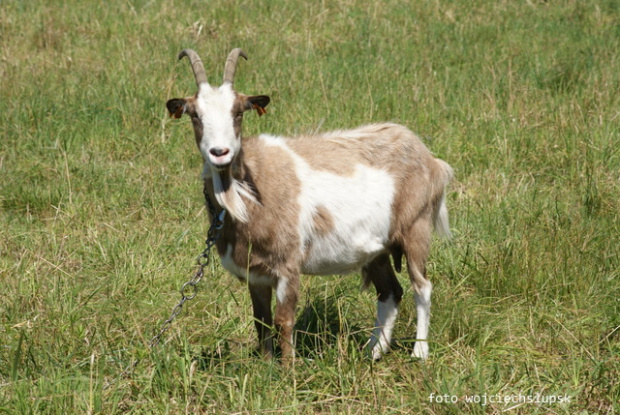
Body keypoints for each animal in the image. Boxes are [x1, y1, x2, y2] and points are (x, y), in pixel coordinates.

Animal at [167, 48, 452, 360]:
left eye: (238, 112)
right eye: (195, 115)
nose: (220, 152)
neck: (250, 191)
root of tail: (429, 158)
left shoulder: (288, 264)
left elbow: (283, 320)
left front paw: (288, 368)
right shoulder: (256, 272)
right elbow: (261, 320)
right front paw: (266, 365)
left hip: (416, 227)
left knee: (422, 287)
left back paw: (419, 352)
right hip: (377, 248)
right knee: (390, 291)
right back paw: (373, 352)